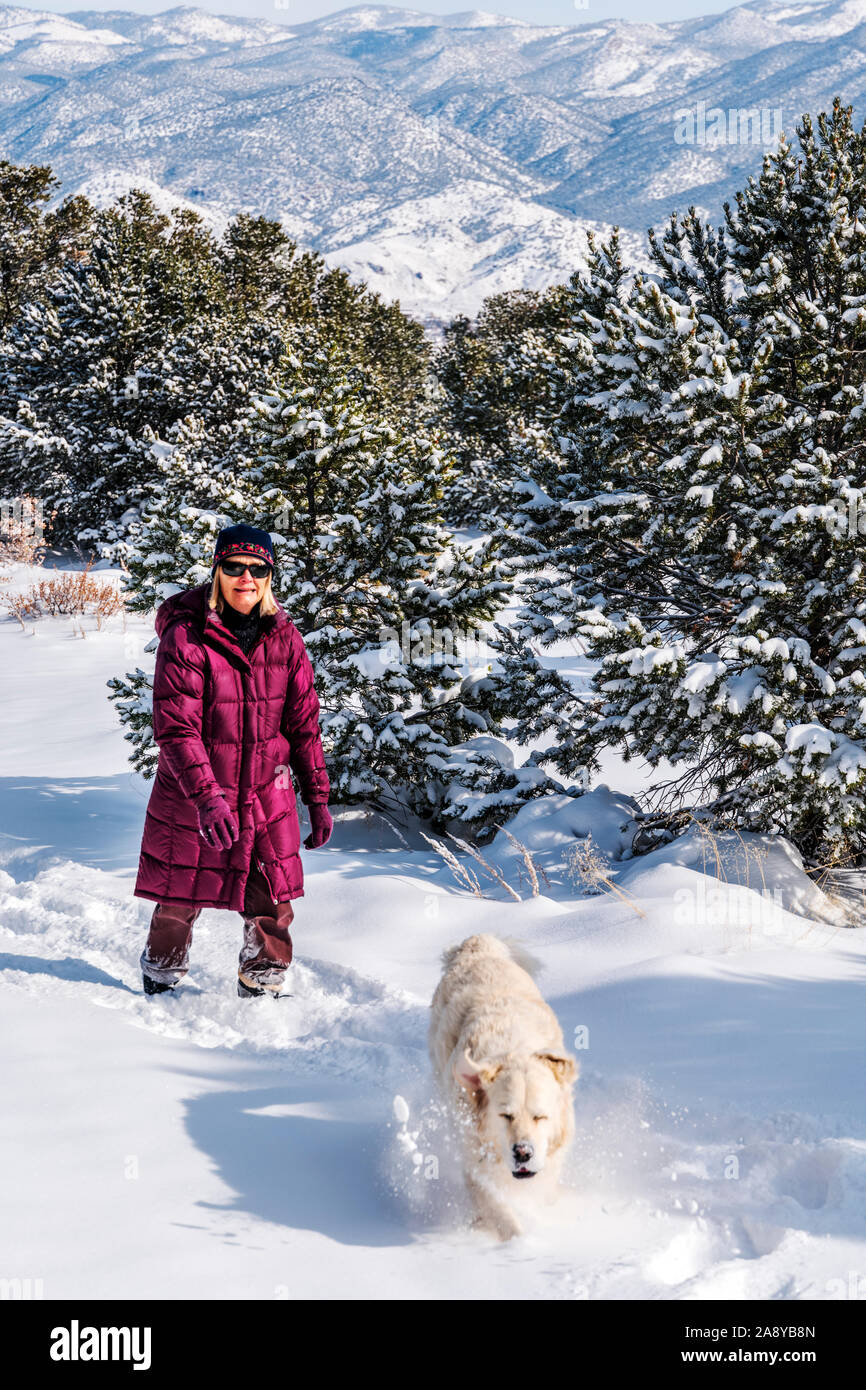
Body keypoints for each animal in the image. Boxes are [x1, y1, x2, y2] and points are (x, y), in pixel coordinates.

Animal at [428, 934, 578, 1239]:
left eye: (540, 1116)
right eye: (505, 1115)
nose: (523, 1153)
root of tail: (478, 945)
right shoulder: (475, 1162)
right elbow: (499, 1210)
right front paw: (519, 1242)